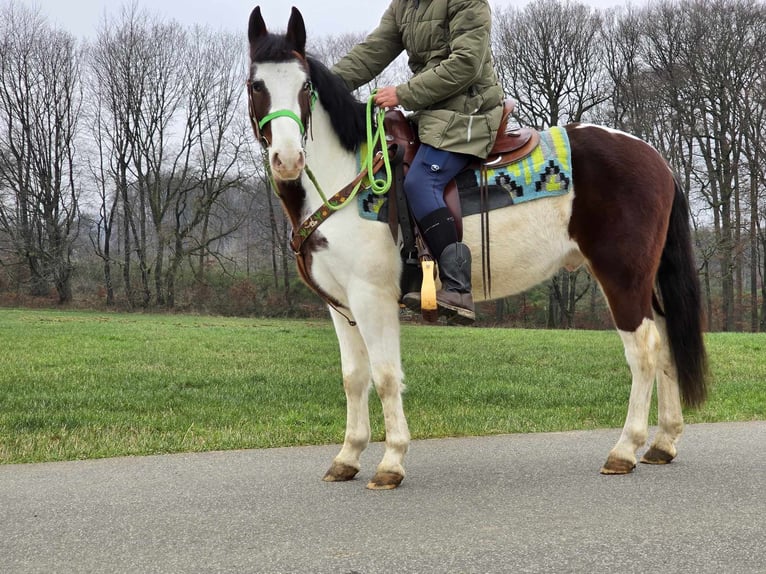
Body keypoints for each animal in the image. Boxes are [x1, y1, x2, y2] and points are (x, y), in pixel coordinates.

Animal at [246, 5, 708, 490]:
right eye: (257, 85)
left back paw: (625, 448)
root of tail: (657, 160)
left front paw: (391, 462)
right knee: (667, 345)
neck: (351, 175)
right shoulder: (342, 304)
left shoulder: (373, 298)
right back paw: (662, 443)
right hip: (644, 281)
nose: (288, 158)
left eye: (304, 87)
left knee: (644, 350)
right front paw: (348, 456)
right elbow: (354, 378)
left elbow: (386, 376)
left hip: (621, 276)